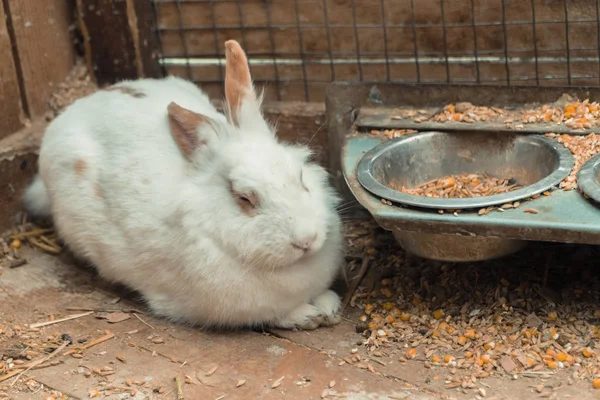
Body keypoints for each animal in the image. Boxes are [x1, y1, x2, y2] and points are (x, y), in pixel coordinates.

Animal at [23, 39, 344, 328]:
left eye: (300, 177)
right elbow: (275, 315)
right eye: (244, 198)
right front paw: (308, 315)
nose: (306, 240)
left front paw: (328, 306)